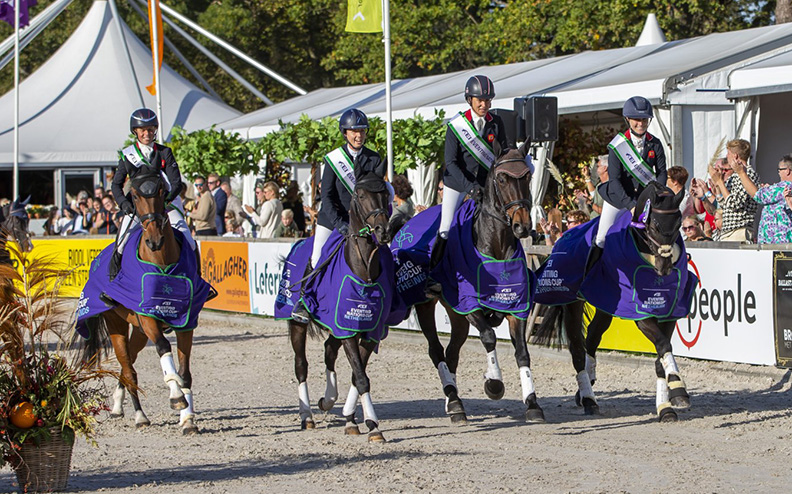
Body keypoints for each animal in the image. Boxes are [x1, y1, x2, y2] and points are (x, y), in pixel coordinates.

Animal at [75, 172, 211, 434]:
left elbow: (185, 373)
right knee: (128, 369)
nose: (154, 240)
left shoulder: (187, 322)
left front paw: (188, 419)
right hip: (117, 324)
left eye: (161, 191)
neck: (162, 262)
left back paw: (118, 405)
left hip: (137, 330)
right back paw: (139, 416)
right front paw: (176, 397)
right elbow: (163, 348)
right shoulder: (148, 317)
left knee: (129, 363)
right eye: (135, 196)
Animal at [278, 172, 394, 442]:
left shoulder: (368, 331)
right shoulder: (347, 329)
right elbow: (361, 377)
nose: (383, 230)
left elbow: (357, 373)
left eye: (386, 193)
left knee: (329, 350)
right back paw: (307, 416)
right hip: (296, 324)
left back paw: (328, 400)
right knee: (301, 366)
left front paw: (358, 421)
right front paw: (374, 426)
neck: (364, 272)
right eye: (359, 195)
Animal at [405, 144, 542, 424]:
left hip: (456, 316)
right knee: (437, 351)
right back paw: (455, 402)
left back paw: (453, 402)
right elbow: (489, 336)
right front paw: (494, 383)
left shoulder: (516, 306)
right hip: (427, 305)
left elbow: (522, 352)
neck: (495, 246)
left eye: (527, 177)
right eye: (502, 179)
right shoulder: (470, 304)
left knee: (452, 353)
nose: (522, 226)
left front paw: (533, 403)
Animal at [533, 181, 695, 422]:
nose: (665, 268)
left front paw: (667, 404)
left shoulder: (669, 313)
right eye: (655, 226)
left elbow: (661, 355)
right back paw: (588, 399)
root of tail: (564, 235)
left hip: (606, 303)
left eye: (678, 225)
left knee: (592, 337)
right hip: (573, 304)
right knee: (578, 349)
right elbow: (663, 346)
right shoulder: (640, 313)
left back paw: (586, 389)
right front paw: (677, 385)